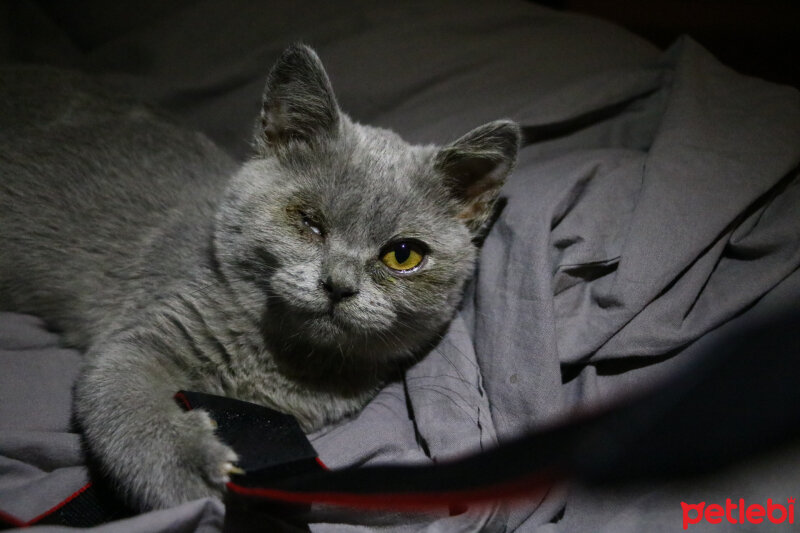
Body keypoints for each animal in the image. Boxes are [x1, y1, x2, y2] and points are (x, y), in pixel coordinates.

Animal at [0, 44, 520, 508]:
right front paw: (190, 475)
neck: (280, 364)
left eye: (403, 255)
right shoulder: (139, 338)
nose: (338, 284)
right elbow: (122, 399)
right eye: (308, 221)